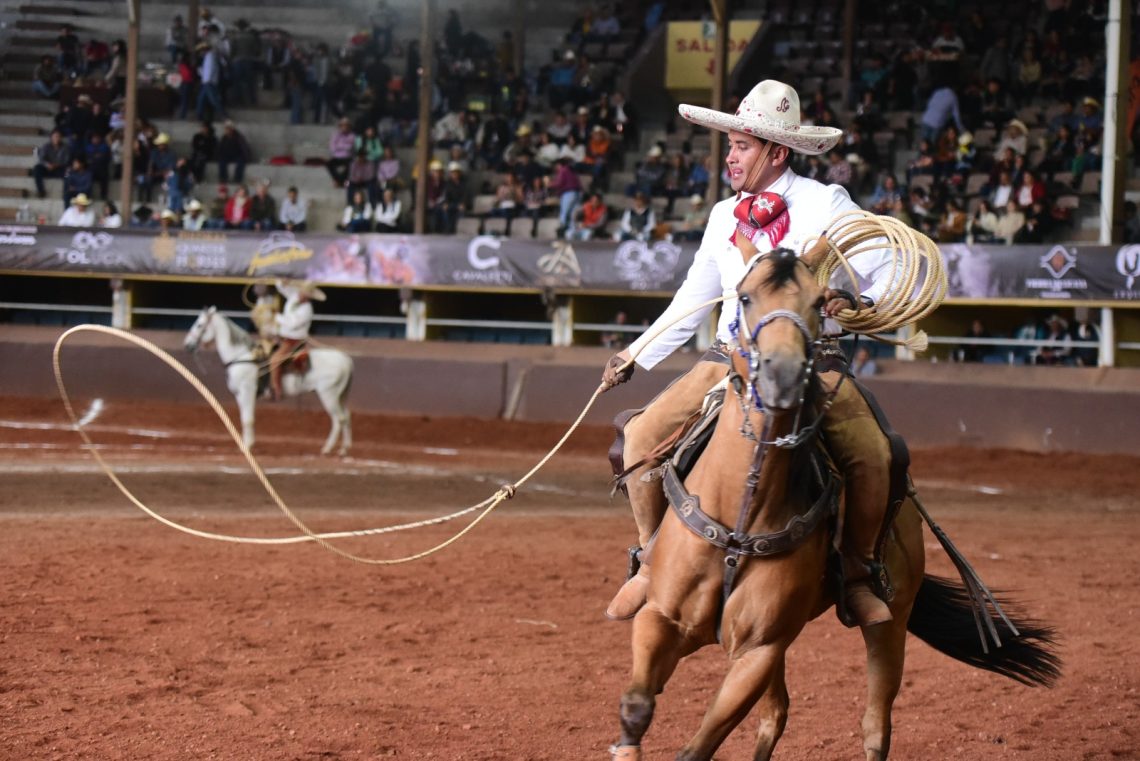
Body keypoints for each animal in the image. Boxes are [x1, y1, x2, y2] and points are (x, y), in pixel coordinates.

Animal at [183, 307, 354, 456]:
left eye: (199, 324)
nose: (187, 345)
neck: (241, 356)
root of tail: (345, 359)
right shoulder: (239, 395)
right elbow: (244, 418)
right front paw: (245, 444)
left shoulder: (247, 391)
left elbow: (248, 419)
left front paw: (248, 446)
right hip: (340, 395)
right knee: (346, 417)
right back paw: (344, 449)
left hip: (328, 394)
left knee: (338, 420)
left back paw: (327, 449)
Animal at [610, 250, 1058, 761]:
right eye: (745, 296)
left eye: (818, 301)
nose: (782, 372)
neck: (740, 518)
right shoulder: (662, 620)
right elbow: (637, 705)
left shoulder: (759, 649)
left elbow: (697, 747)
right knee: (776, 714)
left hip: (889, 622)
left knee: (873, 724)